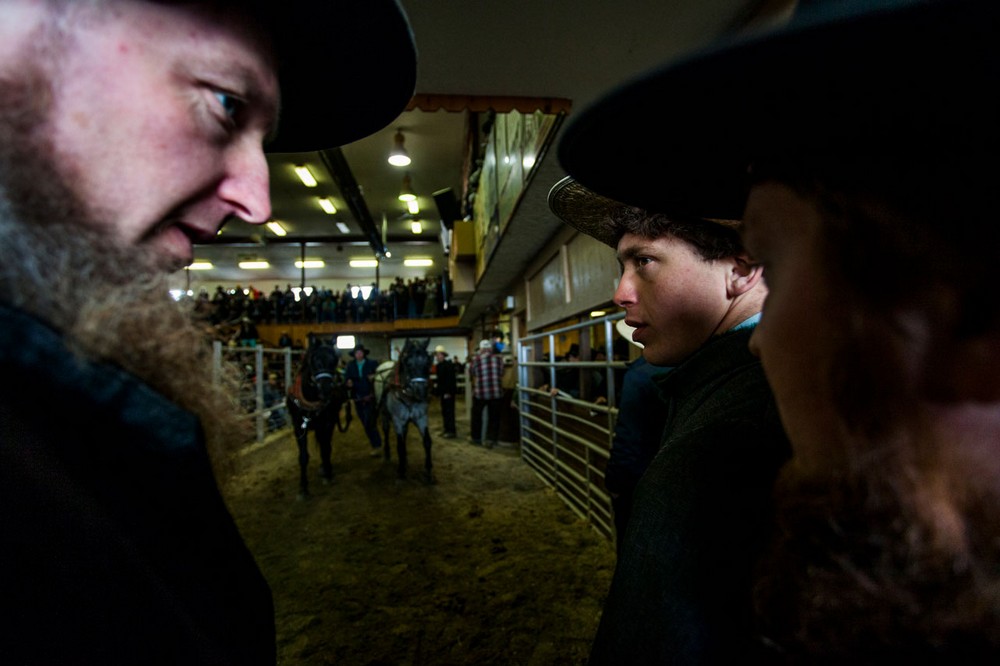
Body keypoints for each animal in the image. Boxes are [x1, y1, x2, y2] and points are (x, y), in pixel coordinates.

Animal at [286, 344, 352, 496]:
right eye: (314, 360)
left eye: (334, 360)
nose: (326, 389)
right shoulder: (298, 427)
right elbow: (303, 457)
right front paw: (303, 488)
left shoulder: (326, 423)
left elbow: (325, 447)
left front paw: (328, 474)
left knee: (326, 444)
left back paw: (326, 468)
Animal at [376, 340, 434, 480]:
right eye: (407, 362)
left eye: (428, 361)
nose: (421, 392)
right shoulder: (397, 420)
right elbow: (400, 445)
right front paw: (401, 469)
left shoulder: (421, 418)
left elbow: (427, 441)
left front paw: (428, 469)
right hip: (384, 414)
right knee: (386, 431)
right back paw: (387, 453)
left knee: (405, 433)